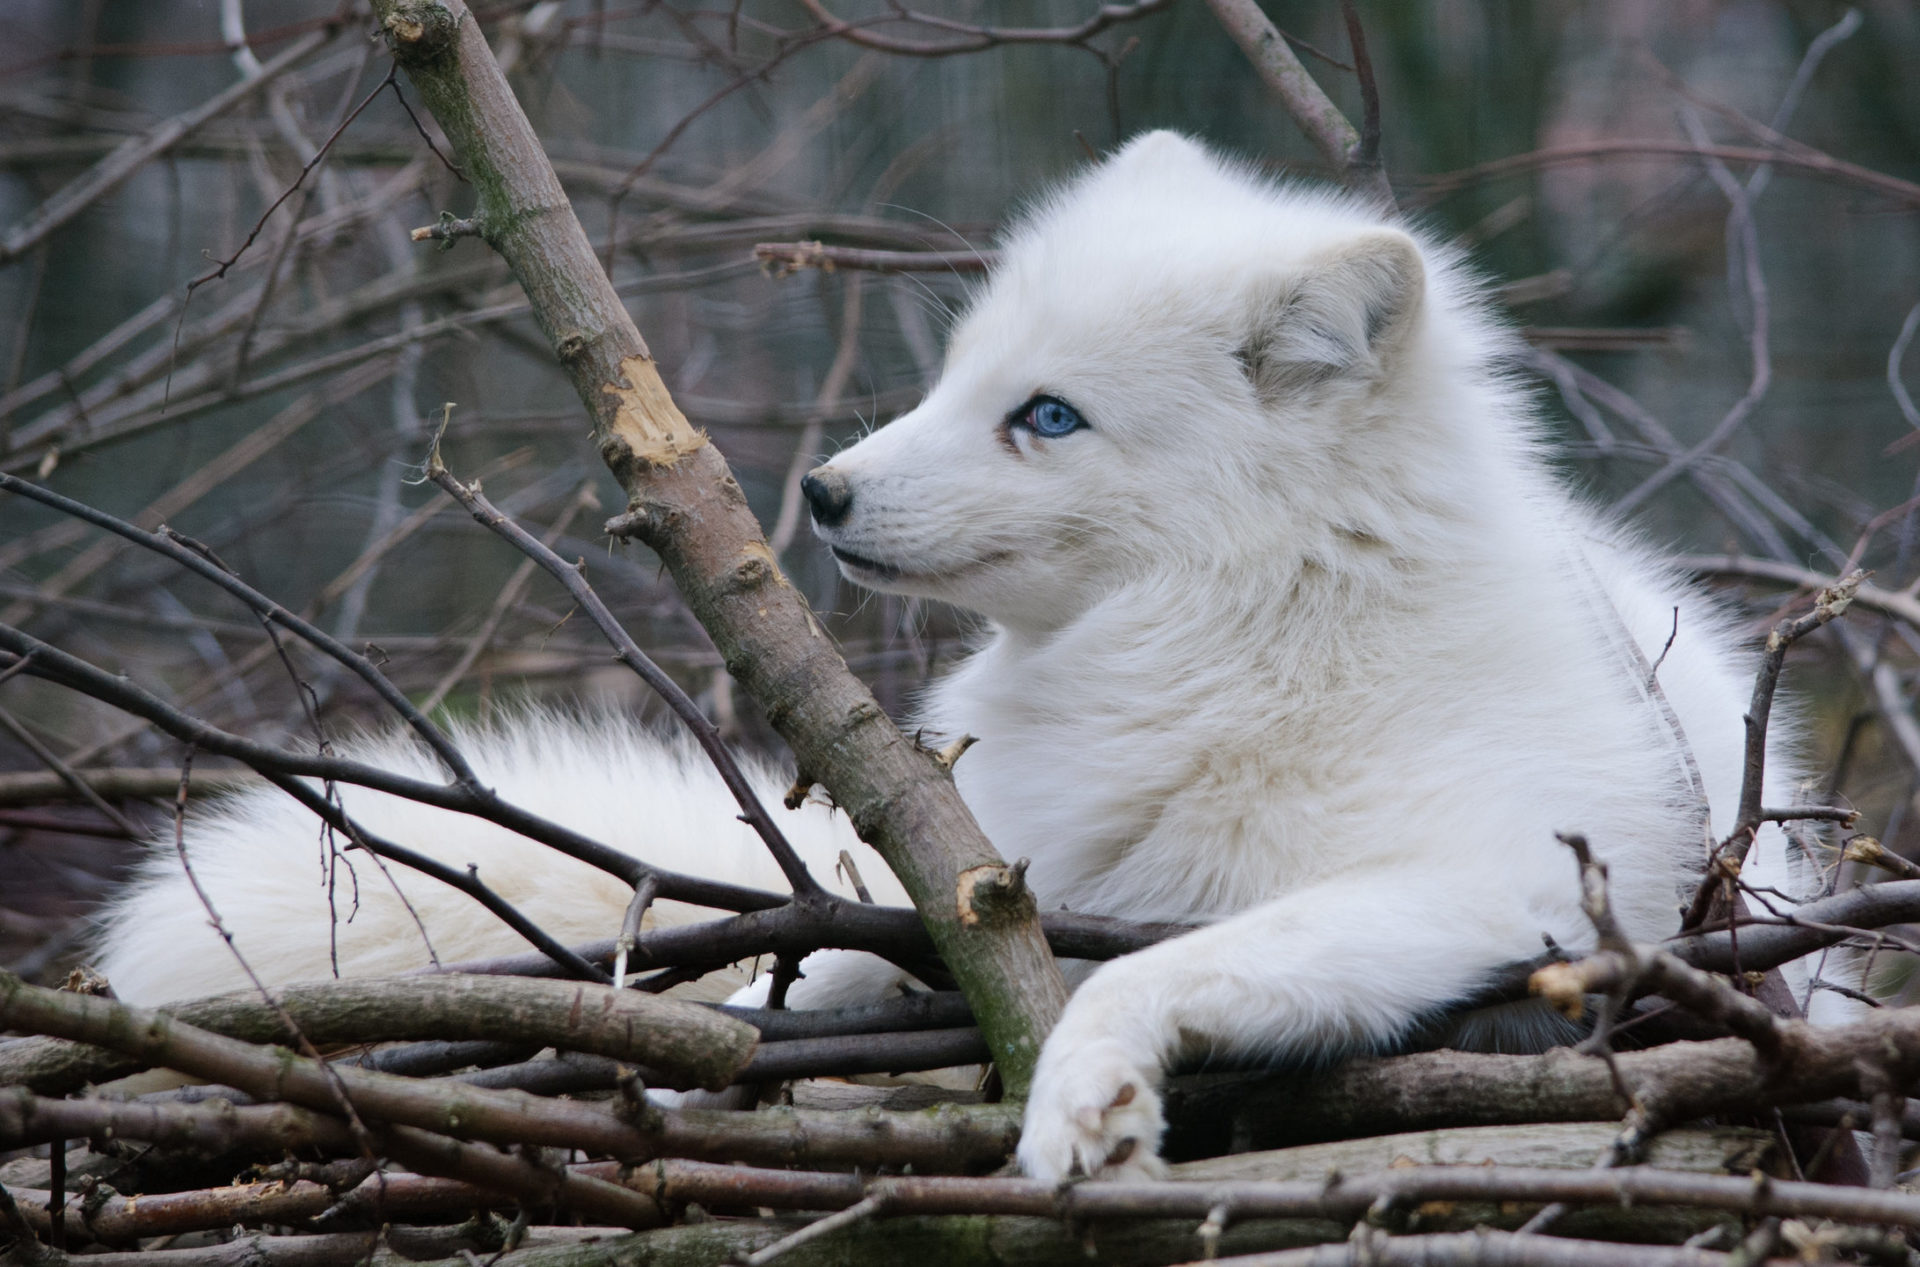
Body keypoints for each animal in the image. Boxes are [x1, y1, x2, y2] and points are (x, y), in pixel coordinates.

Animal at [95, 131, 1813, 1181]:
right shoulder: (986, 877)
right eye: (957, 376)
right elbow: (825, 967)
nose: (822, 491)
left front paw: (1084, 1095)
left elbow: (1168, 961)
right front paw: (679, 1038)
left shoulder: (1496, 883)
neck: (1255, 626)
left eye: (1044, 414)